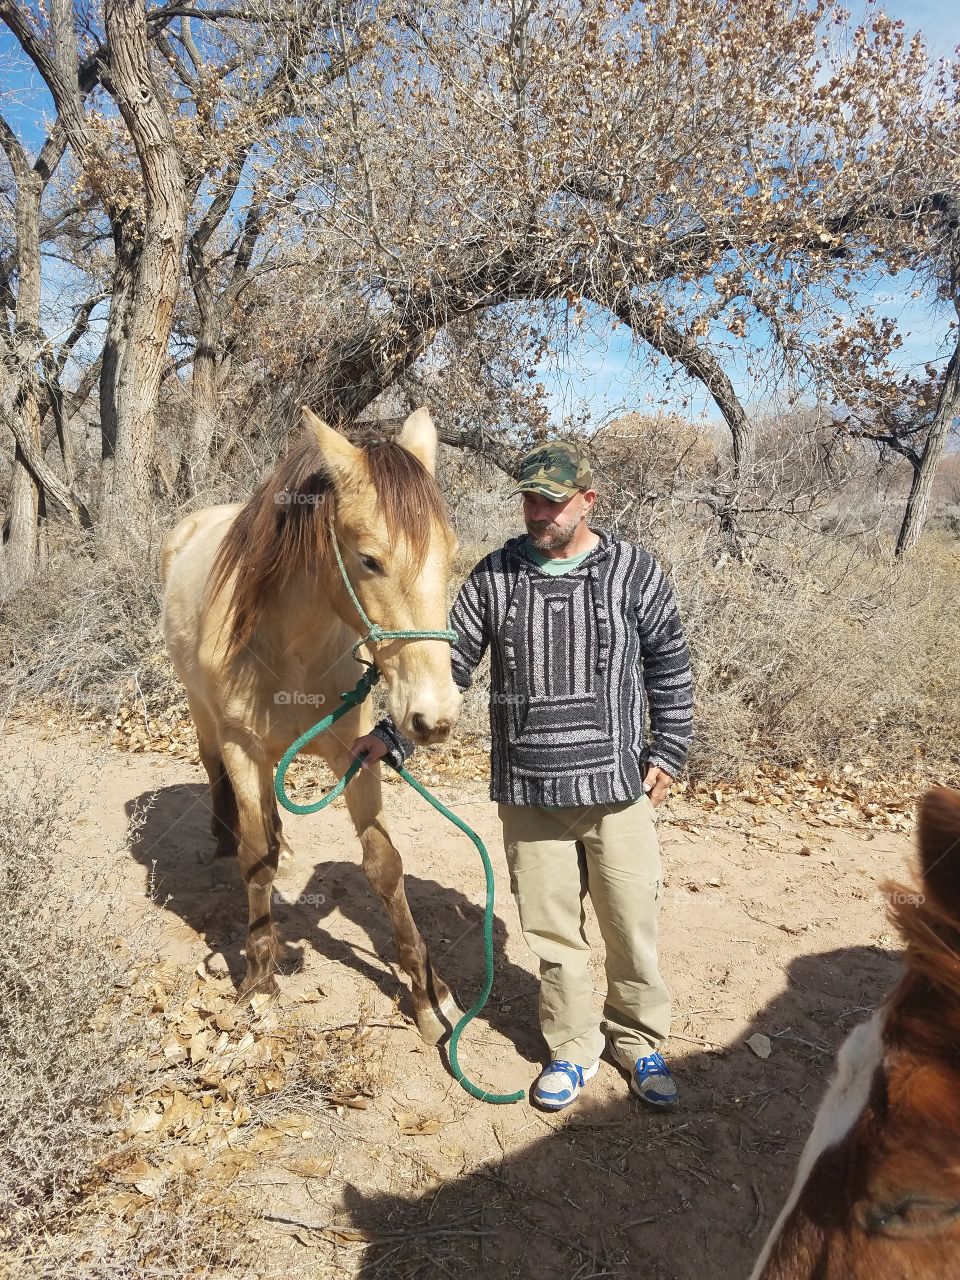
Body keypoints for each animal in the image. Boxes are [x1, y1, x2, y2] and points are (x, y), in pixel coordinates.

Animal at [161, 404, 465, 1044]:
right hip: (204, 717)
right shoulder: (243, 747)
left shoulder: (357, 753)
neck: (290, 644)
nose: (433, 717)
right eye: (369, 559)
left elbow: (384, 867)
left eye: (449, 554)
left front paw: (428, 993)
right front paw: (259, 982)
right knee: (216, 777)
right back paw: (225, 836)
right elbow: (255, 861)